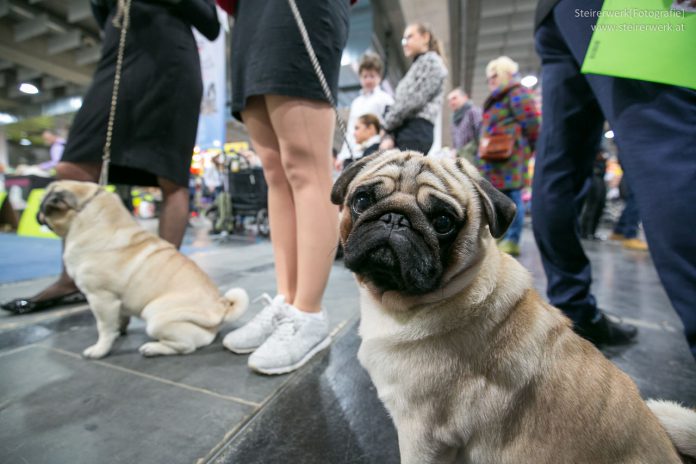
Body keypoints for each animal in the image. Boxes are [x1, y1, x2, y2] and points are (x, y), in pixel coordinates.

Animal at [38, 181, 247, 358]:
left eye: (45, 200)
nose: (39, 209)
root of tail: (220, 309)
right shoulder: (115, 303)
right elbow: (118, 320)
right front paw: (118, 332)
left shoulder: (101, 299)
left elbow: (103, 328)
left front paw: (100, 350)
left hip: (155, 316)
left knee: (186, 347)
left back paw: (152, 348)